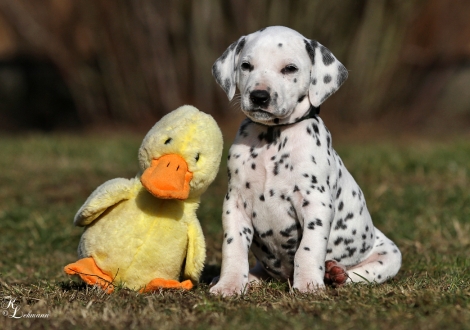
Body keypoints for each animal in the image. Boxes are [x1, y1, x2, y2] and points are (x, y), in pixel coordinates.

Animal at [209, 25, 400, 294]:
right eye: (246, 65)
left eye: (290, 68)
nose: (259, 96)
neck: (273, 136)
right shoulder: (235, 201)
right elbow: (233, 247)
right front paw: (229, 285)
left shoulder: (315, 201)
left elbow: (308, 249)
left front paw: (308, 285)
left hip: (389, 255)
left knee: (360, 274)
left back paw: (335, 274)